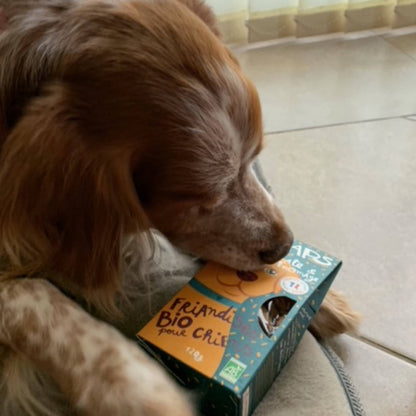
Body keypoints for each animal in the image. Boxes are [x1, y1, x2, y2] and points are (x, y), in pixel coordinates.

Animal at [0, 1, 360, 414]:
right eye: (197, 196)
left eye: (253, 156)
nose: (284, 246)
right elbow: (34, 297)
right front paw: (136, 388)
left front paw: (321, 298)